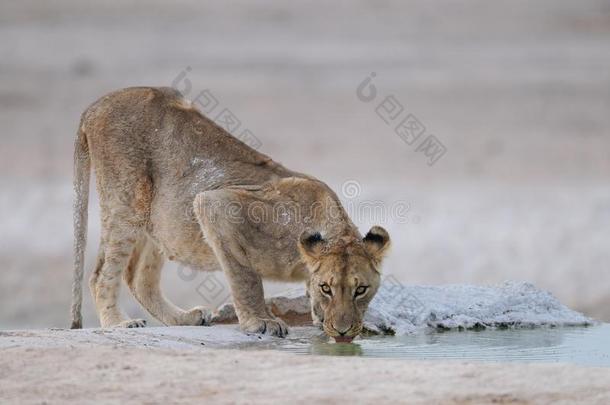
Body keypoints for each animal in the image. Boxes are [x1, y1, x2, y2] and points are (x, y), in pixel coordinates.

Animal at [69, 86, 388, 340]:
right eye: (327, 288)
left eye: (361, 290)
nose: (343, 331)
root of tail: (96, 105)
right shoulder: (217, 205)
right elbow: (245, 277)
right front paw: (262, 322)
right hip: (126, 200)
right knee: (100, 274)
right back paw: (118, 323)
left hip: (160, 217)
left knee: (138, 277)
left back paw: (185, 318)